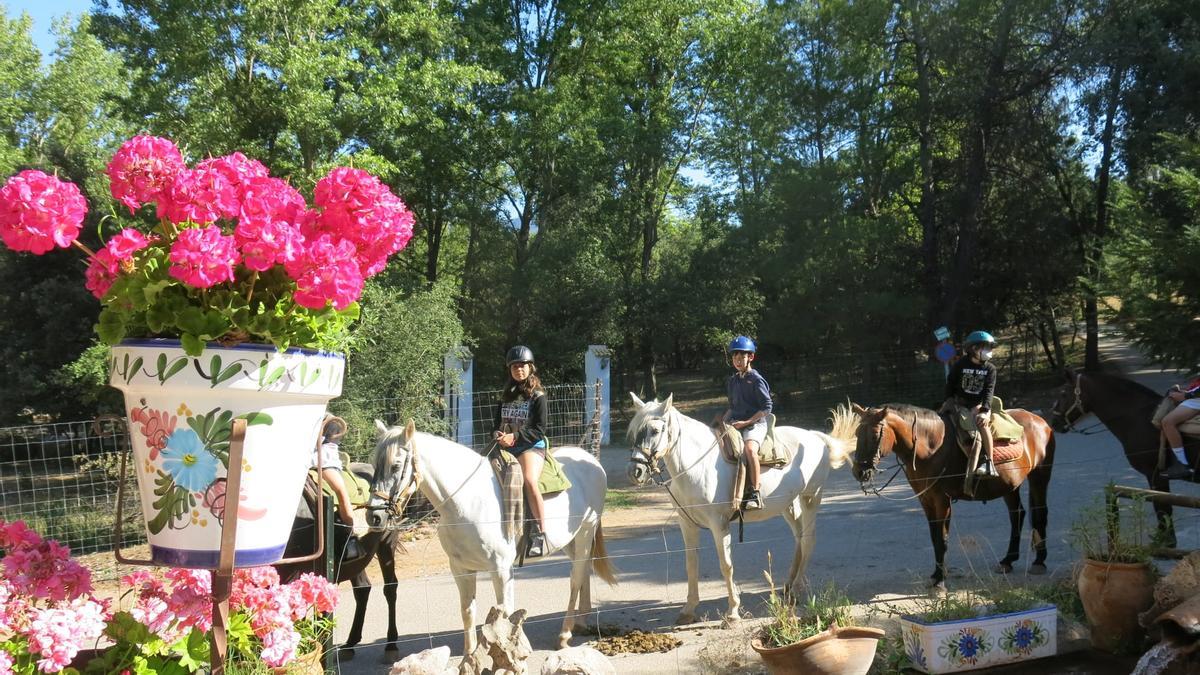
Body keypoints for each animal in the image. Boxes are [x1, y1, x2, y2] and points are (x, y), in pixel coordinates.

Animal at [367, 420, 614, 653]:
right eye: (375, 465)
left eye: (395, 465)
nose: (374, 516)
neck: (467, 502)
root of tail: (591, 461)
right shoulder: (461, 569)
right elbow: (468, 611)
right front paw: (468, 656)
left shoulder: (501, 569)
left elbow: (505, 614)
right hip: (571, 540)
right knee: (583, 571)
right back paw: (580, 622)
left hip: (586, 532)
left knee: (576, 578)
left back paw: (564, 634)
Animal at [624, 391, 859, 624]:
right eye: (634, 431)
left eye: (655, 431)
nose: (635, 472)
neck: (697, 465)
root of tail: (816, 437)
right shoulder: (687, 523)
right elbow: (691, 565)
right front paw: (688, 610)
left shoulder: (719, 524)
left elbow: (726, 565)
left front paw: (732, 612)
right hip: (788, 505)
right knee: (799, 539)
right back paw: (788, 586)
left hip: (811, 497)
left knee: (808, 540)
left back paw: (795, 591)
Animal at [849, 398, 1056, 588]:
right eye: (857, 433)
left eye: (875, 435)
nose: (859, 471)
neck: (930, 447)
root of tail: (1040, 421)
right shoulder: (926, 499)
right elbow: (934, 538)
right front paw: (936, 575)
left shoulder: (942, 500)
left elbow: (942, 539)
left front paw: (940, 580)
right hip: (1009, 486)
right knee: (1017, 515)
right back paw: (1008, 560)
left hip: (1039, 476)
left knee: (1040, 513)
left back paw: (1039, 561)